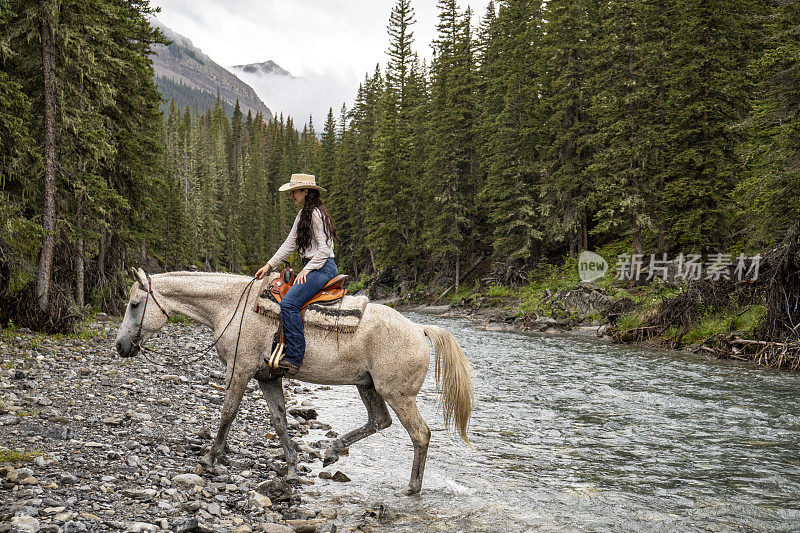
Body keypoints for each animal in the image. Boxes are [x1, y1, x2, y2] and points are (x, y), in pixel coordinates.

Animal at [115, 268, 472, 492]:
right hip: (367, 385)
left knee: (420, 434)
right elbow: (279, 420)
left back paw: (411, 487)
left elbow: (228, 413)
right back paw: (333, 450)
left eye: (134, 304)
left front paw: (209, 458)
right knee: (379, 421)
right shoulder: (266, 378)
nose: (120, 346)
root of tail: (419, 329)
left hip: (398, 394)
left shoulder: (239, 370)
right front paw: (291, 465)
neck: (233, 308)